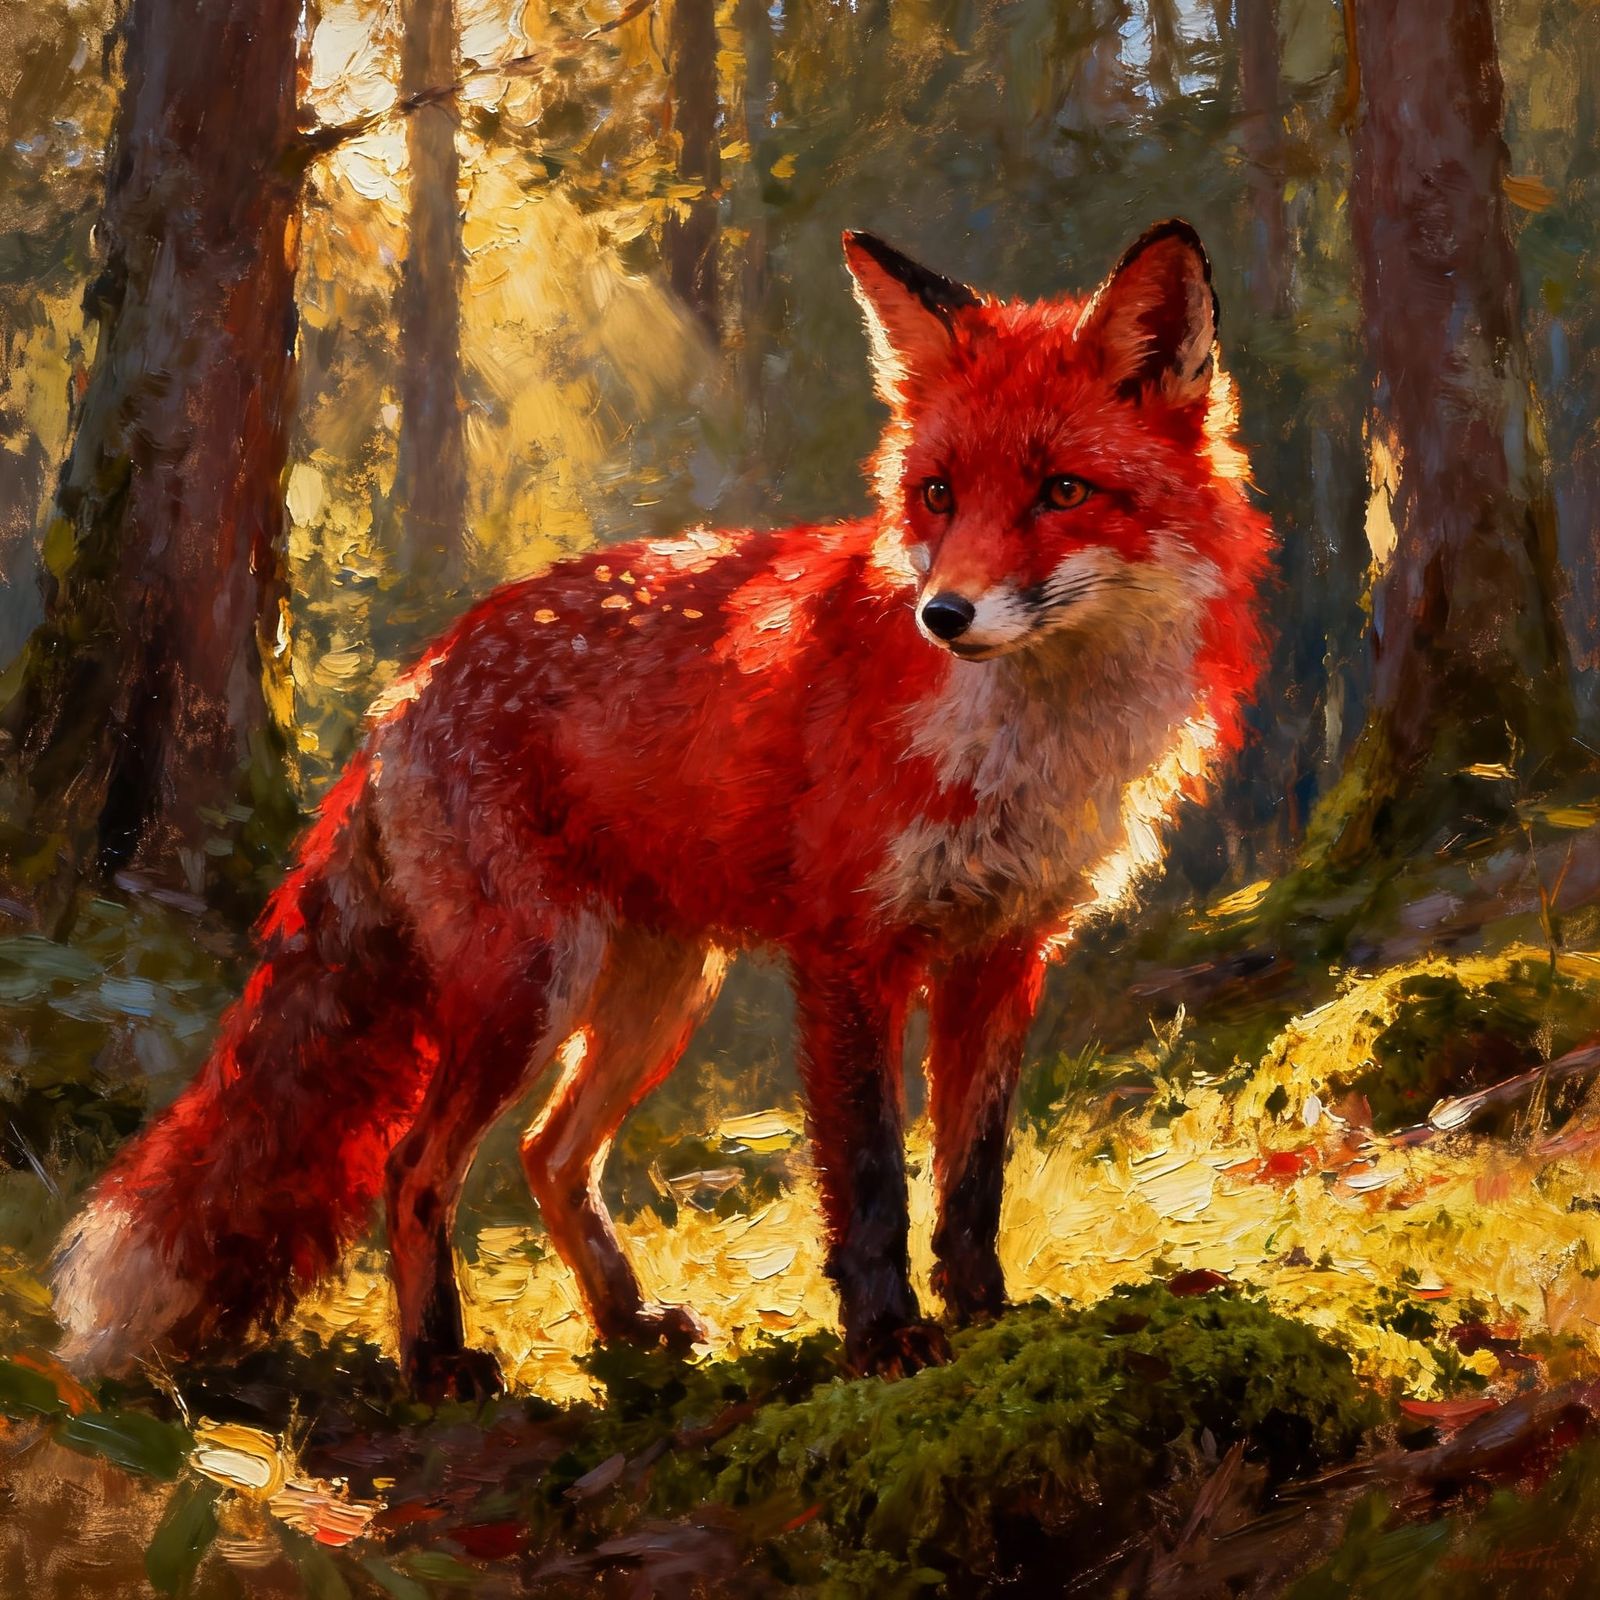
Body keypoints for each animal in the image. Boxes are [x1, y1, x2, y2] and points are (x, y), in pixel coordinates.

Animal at [52, 219, 1272, 1397]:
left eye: (1062, 491)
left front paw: (987, 1321)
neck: (1022, 744)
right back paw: (436, 1360)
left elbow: (972, 1177)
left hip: (656, 993)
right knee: (416, 1166)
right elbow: (871, 1181)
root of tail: (409, 686)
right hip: (532, 985)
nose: (943, 613)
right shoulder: (849, 952)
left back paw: (624, 1323)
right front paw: (884, 1339)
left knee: (548, 1156)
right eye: (939, 495)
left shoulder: (1005, 951)